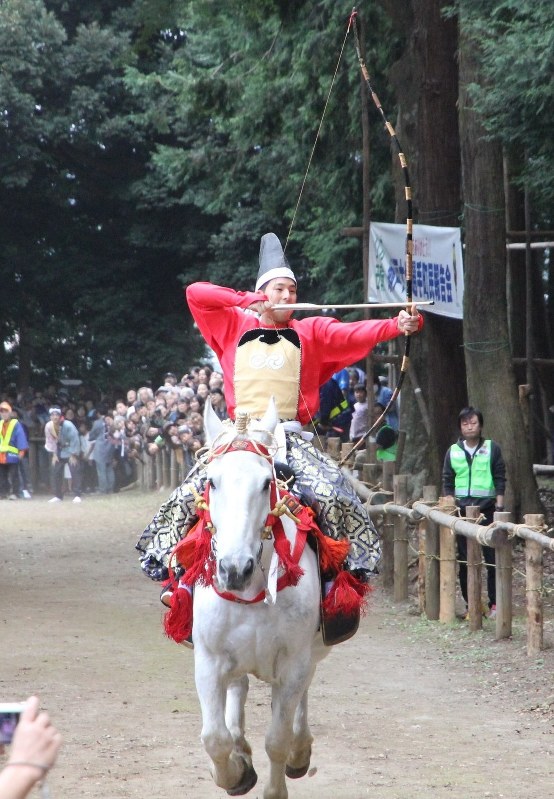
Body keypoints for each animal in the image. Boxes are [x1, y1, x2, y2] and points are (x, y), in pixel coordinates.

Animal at [192, 400, 326, 799]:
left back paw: (300, 751)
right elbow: (214, 738)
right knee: (238, 689)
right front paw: (235, 774)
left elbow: (277, 739)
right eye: (212, 481)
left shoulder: (295, 662)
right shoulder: (208, 659)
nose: (235, 568)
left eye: (267, 482)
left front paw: (275, 784)